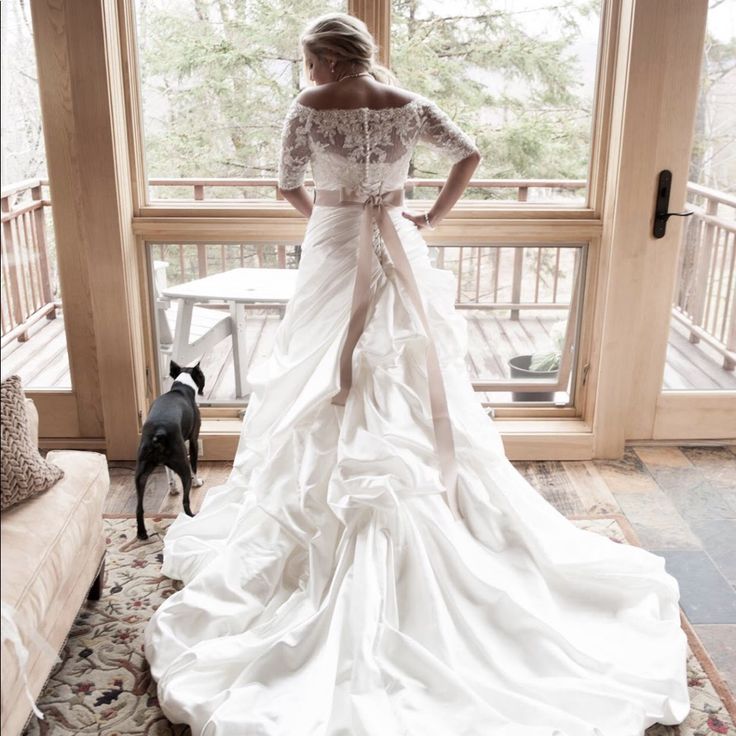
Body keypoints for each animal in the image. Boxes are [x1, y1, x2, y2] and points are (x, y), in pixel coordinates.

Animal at [134, 360, 204, 540]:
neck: (181, 388)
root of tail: (158, 433)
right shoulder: (193, 440)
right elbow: (194, 466)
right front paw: (197, 482)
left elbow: (169, 473)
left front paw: (172, 489)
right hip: (182, 465)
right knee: (185, 500)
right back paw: (191, 518)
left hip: (141, 473)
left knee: (139, 507)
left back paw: (142, 533)